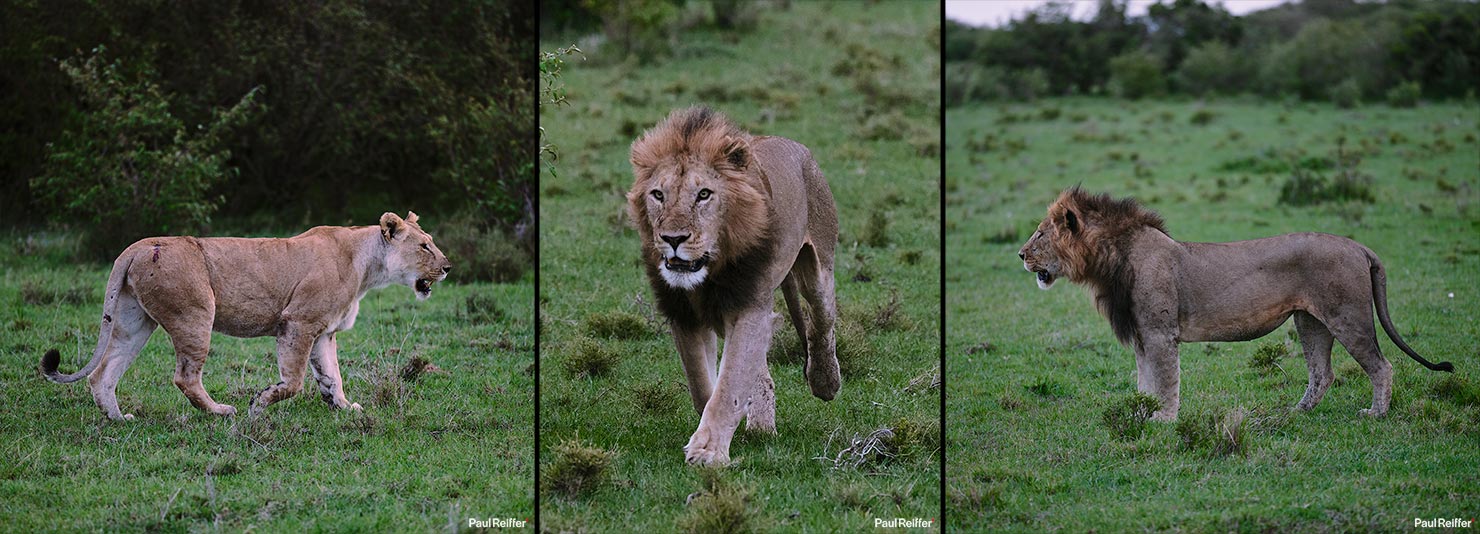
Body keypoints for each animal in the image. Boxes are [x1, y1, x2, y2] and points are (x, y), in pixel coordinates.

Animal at [39, 212, 452, 420]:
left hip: (134, 322)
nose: (448, 267)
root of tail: (139, 246)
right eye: (424, 245)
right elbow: (294, 381)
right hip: (195, 315)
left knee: (102, 373)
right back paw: (221, 411)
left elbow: (332, 376)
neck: (368, 266)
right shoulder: (297, 322)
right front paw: (260, 403)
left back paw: (118, 419)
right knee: (184, 377)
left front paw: (344, 407)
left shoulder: (324, 332)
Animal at [627, 106, 840, 466]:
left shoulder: (749, 306)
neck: (710, 271)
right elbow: (704, 385)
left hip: (819, 267)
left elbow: (729, 385)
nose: (673, 239)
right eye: (658, 195)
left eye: (704, 195)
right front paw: (720, 434)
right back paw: (761, 427)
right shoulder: (684, 314)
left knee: (821, 323)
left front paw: (708, 451)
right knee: (763, 373)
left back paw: (825, 381)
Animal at [1018, 187, 1453, 420]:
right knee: (1322, 373)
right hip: (1310, 321)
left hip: (1348, 317)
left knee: (1381, 365)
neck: (1111, 260)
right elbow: (1145, 383)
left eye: (1039, 234)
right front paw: (1144, 415)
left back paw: (1376, 413)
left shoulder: (1160, 335)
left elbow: (1165, 382)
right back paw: (1297, 412)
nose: (1020, 255)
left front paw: (1163, 421)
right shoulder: (1143, 337)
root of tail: (1359, 246)